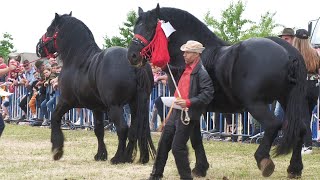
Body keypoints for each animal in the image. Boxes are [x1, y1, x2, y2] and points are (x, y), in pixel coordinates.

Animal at [35, 12, 156, 165]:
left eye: (50, 29)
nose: (38, 47)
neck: (78, 61)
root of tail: (135, 63)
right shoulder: (96, 108)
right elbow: (99, 130)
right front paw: (100, 155)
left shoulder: (66, 101)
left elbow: (55, 117)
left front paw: (57, 150)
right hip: (136, 104)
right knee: (135, 129)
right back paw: (130, 157)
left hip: (115, 106)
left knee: (123, 128)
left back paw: (118, 158)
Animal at [127, 4, 310, 179]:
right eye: (136, 27)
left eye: (150, 28)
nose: (132, 56)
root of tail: (289, 54)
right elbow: (194, 136)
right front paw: (200, 167)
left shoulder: (191, 106)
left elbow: (195, 136)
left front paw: (199, 168)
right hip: (287, 100)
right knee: (300, 128)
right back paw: (294, 169)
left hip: (255, 104)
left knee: (273, 124)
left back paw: (263, 160)